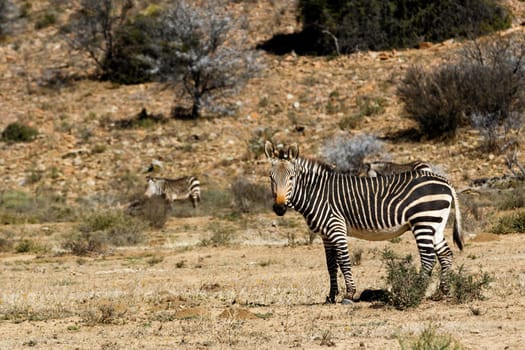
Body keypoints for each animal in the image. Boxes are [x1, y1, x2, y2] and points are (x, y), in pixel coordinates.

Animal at [266, 141, 462, 304]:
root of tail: (445, 181)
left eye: (291, 178)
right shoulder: (325, 235)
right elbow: (331, 265)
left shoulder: (336, 227)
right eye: (271, 178)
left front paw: (349, 294)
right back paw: (443, 292)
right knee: (445, 254)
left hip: (424, 221)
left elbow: (344, 261)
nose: (279, 208)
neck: (316, 193)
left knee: (428, 258)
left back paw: (418, 291)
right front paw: (331, 296)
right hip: (436, 224)